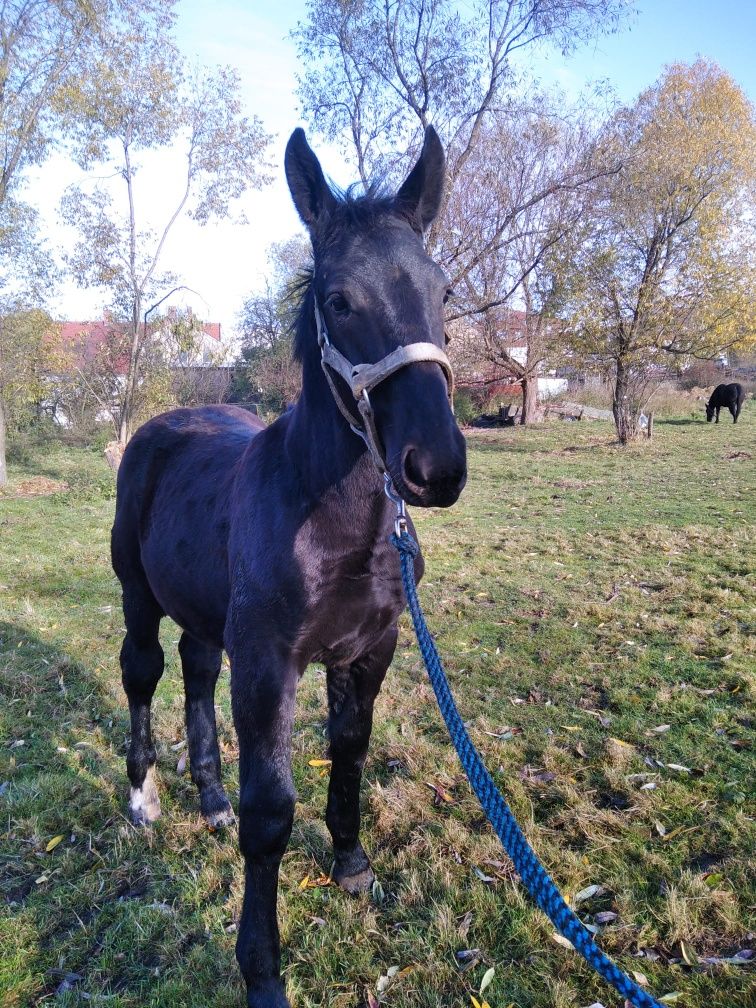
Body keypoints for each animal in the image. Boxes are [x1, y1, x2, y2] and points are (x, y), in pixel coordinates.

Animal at [112, 128, 467, 1008]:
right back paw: (143, 797)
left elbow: (350, 753)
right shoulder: (270, 662)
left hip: (208, 613)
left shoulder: (369, 651)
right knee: (143, 673)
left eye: (442, 290)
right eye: (339, 300)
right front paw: (262, 972)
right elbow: (269, 812)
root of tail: (164, 423)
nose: (436, 468)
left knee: (195, 672)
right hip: (137, 595)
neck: (340, 525)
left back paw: (207, 801)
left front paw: (351, 864)